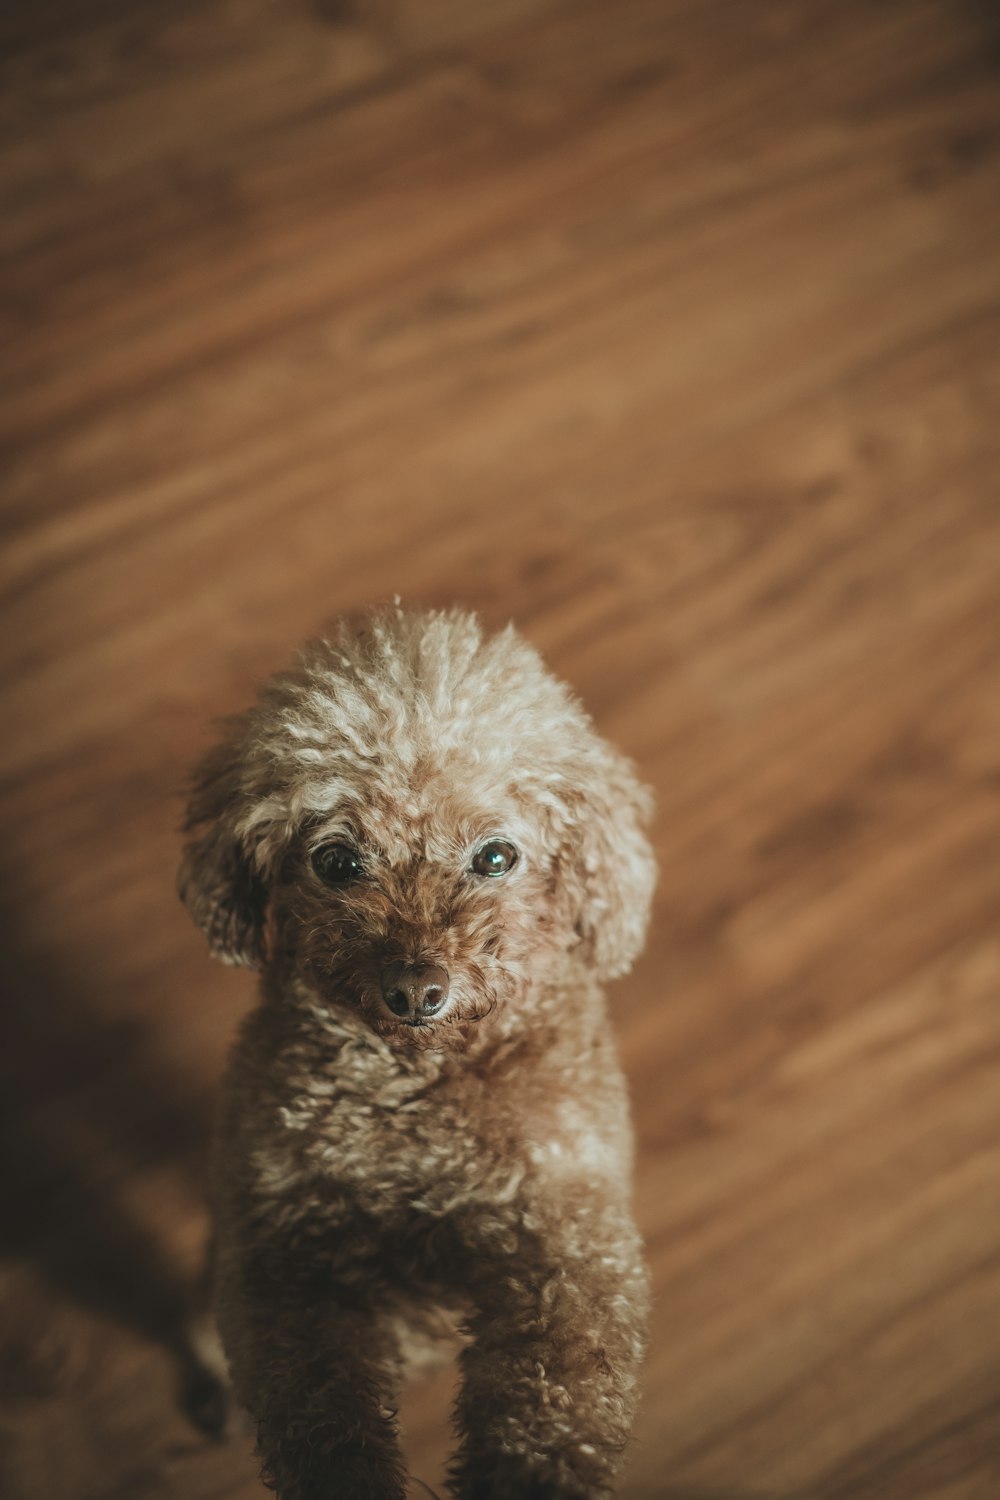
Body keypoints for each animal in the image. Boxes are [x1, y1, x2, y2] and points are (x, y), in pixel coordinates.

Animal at [179, 606, 656, 1500]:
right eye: (336, 861)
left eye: (496, 856)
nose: (416, 989)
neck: (422, 1087)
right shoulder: (285, 1250)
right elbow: (317, 1408)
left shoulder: (569, 1229)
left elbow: (561, 1384)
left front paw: (533, 1468)